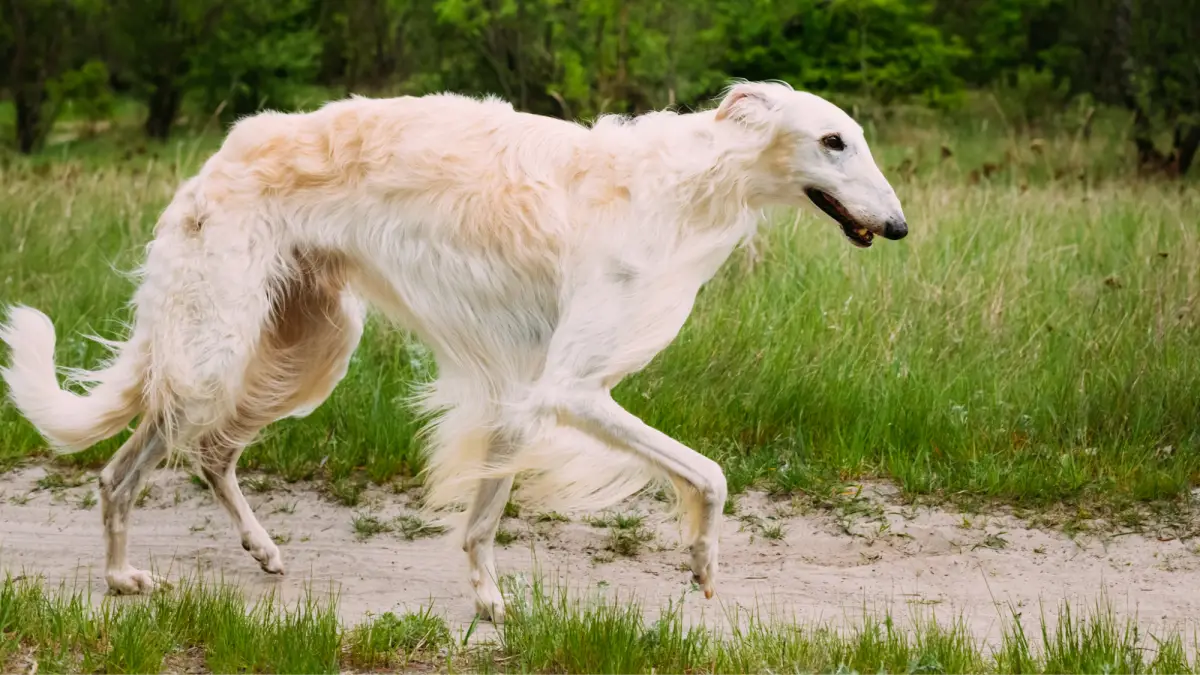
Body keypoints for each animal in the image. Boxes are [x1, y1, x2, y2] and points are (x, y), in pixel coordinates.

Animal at [0, 77, 902, 614]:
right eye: (833, 141)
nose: (897, 226)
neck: (685, 187)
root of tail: (216, 157)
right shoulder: (570, 386)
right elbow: (709, 474)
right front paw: (703, 563)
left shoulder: (524, 386)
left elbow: (481, 518)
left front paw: (487, 600)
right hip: (218, 348)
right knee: (125, 470)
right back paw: (121, 576)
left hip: (312, 342)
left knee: (214, 450)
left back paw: (260, 550)